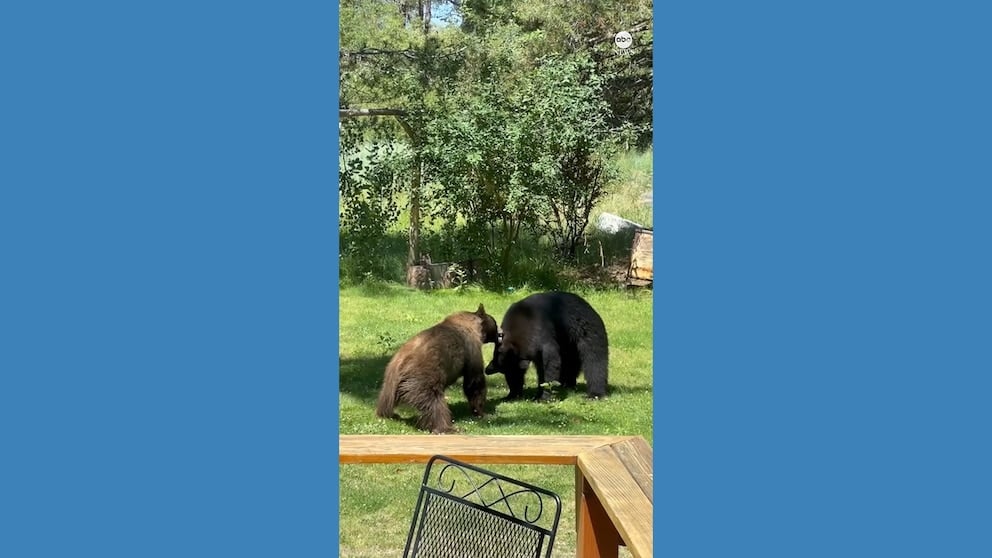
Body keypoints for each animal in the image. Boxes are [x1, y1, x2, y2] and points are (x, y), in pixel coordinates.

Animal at [376, 306, 500, 434]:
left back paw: (386, 413)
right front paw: (481, 412)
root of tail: (401, 362)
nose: (501, 334)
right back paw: (447, 428)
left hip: (390, 380)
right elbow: (474, 381)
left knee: (385, 399)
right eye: (495, 323)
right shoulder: (471, 349)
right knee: (434, 403)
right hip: (423, 377)